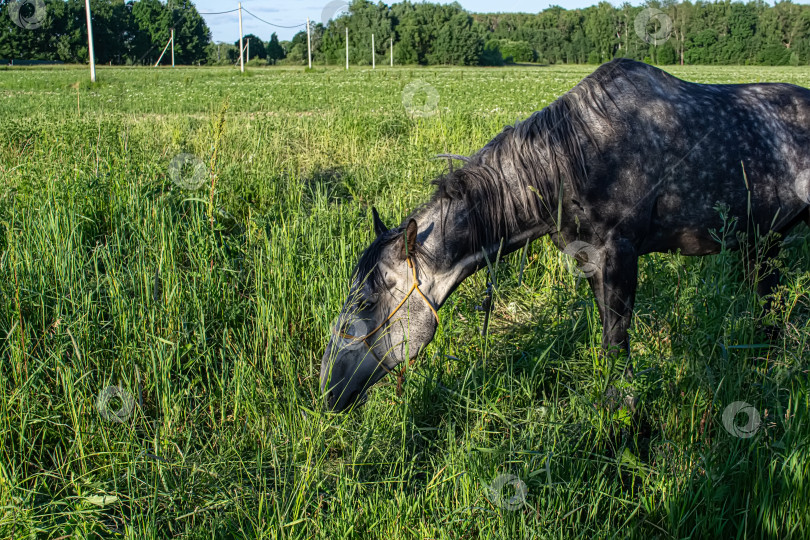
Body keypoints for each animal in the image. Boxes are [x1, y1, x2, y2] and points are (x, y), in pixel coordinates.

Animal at [318, 59, 808, 412]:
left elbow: (616, 346)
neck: (574, 157)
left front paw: (623, 419)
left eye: (365, 302)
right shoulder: (591, 261)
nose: (325, 391)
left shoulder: (620, 256)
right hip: (766, 242)